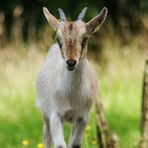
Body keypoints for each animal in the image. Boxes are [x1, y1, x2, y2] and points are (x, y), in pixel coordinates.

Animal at [36, 6, 107, 148]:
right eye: (58, 40)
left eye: (85, 39)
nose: (71, 62)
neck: (72, 96)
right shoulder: (55, 115)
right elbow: (59, 145)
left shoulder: (83, 117)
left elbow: (75, 144)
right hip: (45, 115)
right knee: (47, 138)